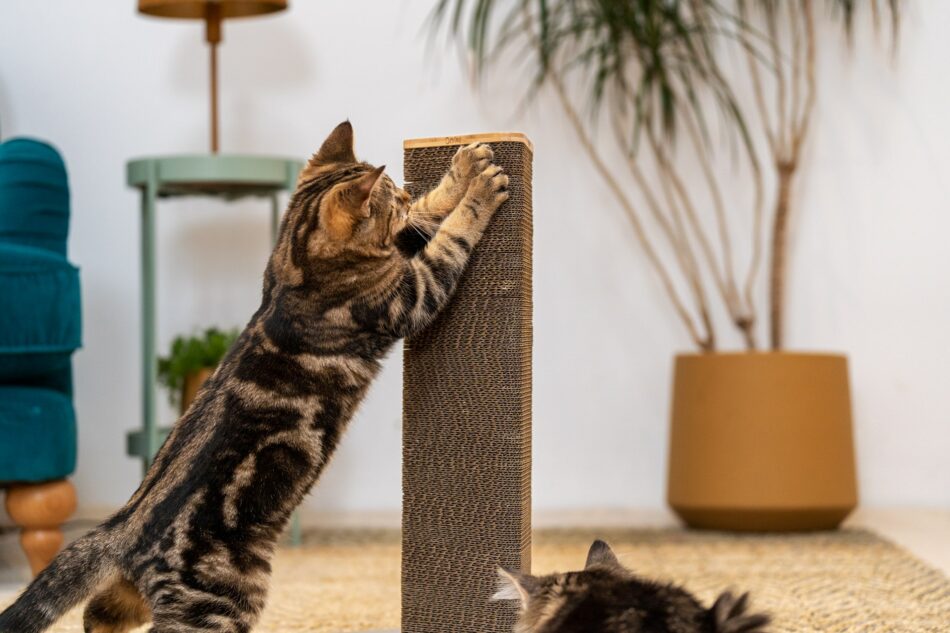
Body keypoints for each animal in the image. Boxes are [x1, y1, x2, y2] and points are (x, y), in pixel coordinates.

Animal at [0, 119, 512, 632]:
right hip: (219, 601)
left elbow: (430, 216)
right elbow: (450, 241)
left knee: (98, 612)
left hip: (144, 595)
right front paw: (478, 191)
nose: (404, 194)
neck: (294, 268)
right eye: (392, 201)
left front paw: (460, 173)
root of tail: (122, 526)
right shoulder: (410, 295)